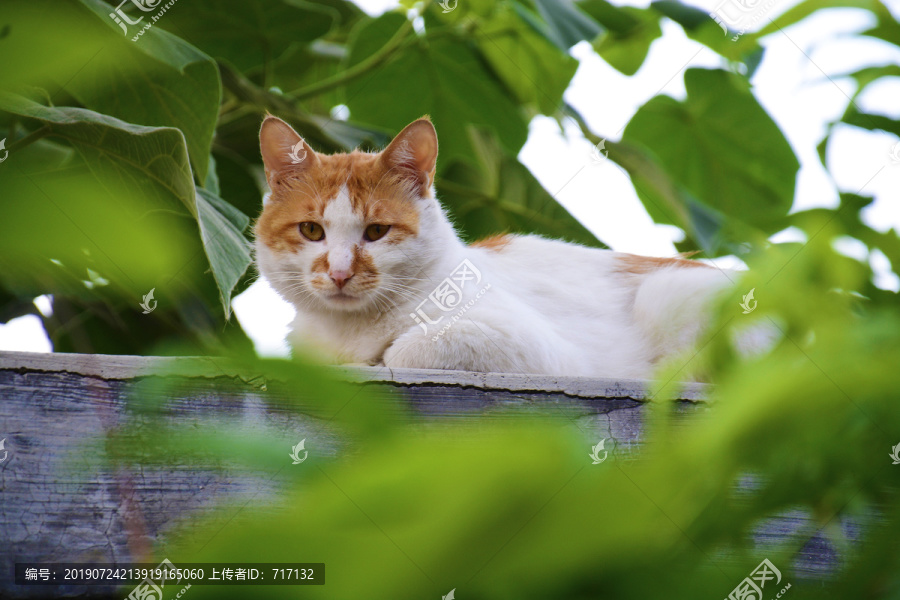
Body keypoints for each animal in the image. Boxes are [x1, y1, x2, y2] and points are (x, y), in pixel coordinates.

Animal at [253, 115, 732, 378]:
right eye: (312, 231)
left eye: (376, 232)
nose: (339, 273)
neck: (348, 332)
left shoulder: (546, 352)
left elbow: (407, 350)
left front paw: (383, 355)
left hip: (667, 293)